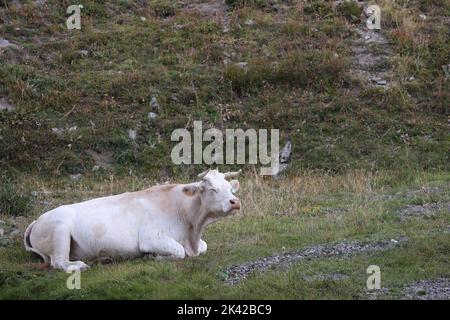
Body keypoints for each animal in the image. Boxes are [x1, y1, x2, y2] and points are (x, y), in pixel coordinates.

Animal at [23, 169, 243, 272]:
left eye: (230, 188)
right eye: (212, 189)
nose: (235, 202)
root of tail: (37, 220)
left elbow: (204, 247)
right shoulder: (151, 238)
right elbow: (179, 252)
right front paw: (152, 257)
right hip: (59, 230)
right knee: (58, 262)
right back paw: (80, 265)